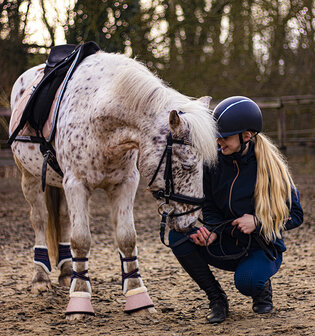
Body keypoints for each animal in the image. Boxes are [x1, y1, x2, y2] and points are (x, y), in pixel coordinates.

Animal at [9, 51, 217, 318]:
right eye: (187, 164)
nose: (191, 222)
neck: (98, 115)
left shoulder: (125, 183)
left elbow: (127, 238)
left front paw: (138, 297)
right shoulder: (76, 184)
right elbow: (81, 240)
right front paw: (79, 301)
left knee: (63, 218)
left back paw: (66, 272)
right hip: (30, 176)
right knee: (40, 219)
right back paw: (40, 279)